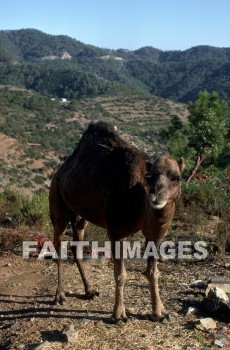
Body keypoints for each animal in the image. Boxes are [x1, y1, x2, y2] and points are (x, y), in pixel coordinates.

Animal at [49, 120, 184, 322]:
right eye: (149, 177)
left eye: (177, 178)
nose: (156, 194)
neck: (137, 196)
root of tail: (60, 172)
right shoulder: (116, 231)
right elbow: (120, 274)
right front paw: (119, 314)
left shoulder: (155, 235)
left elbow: (153, 272)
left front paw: (159, 312)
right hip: (56, 198)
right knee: (58, 244)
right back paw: (60, 296)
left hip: (80, 215)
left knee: (76, 245)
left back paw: (90, 291)